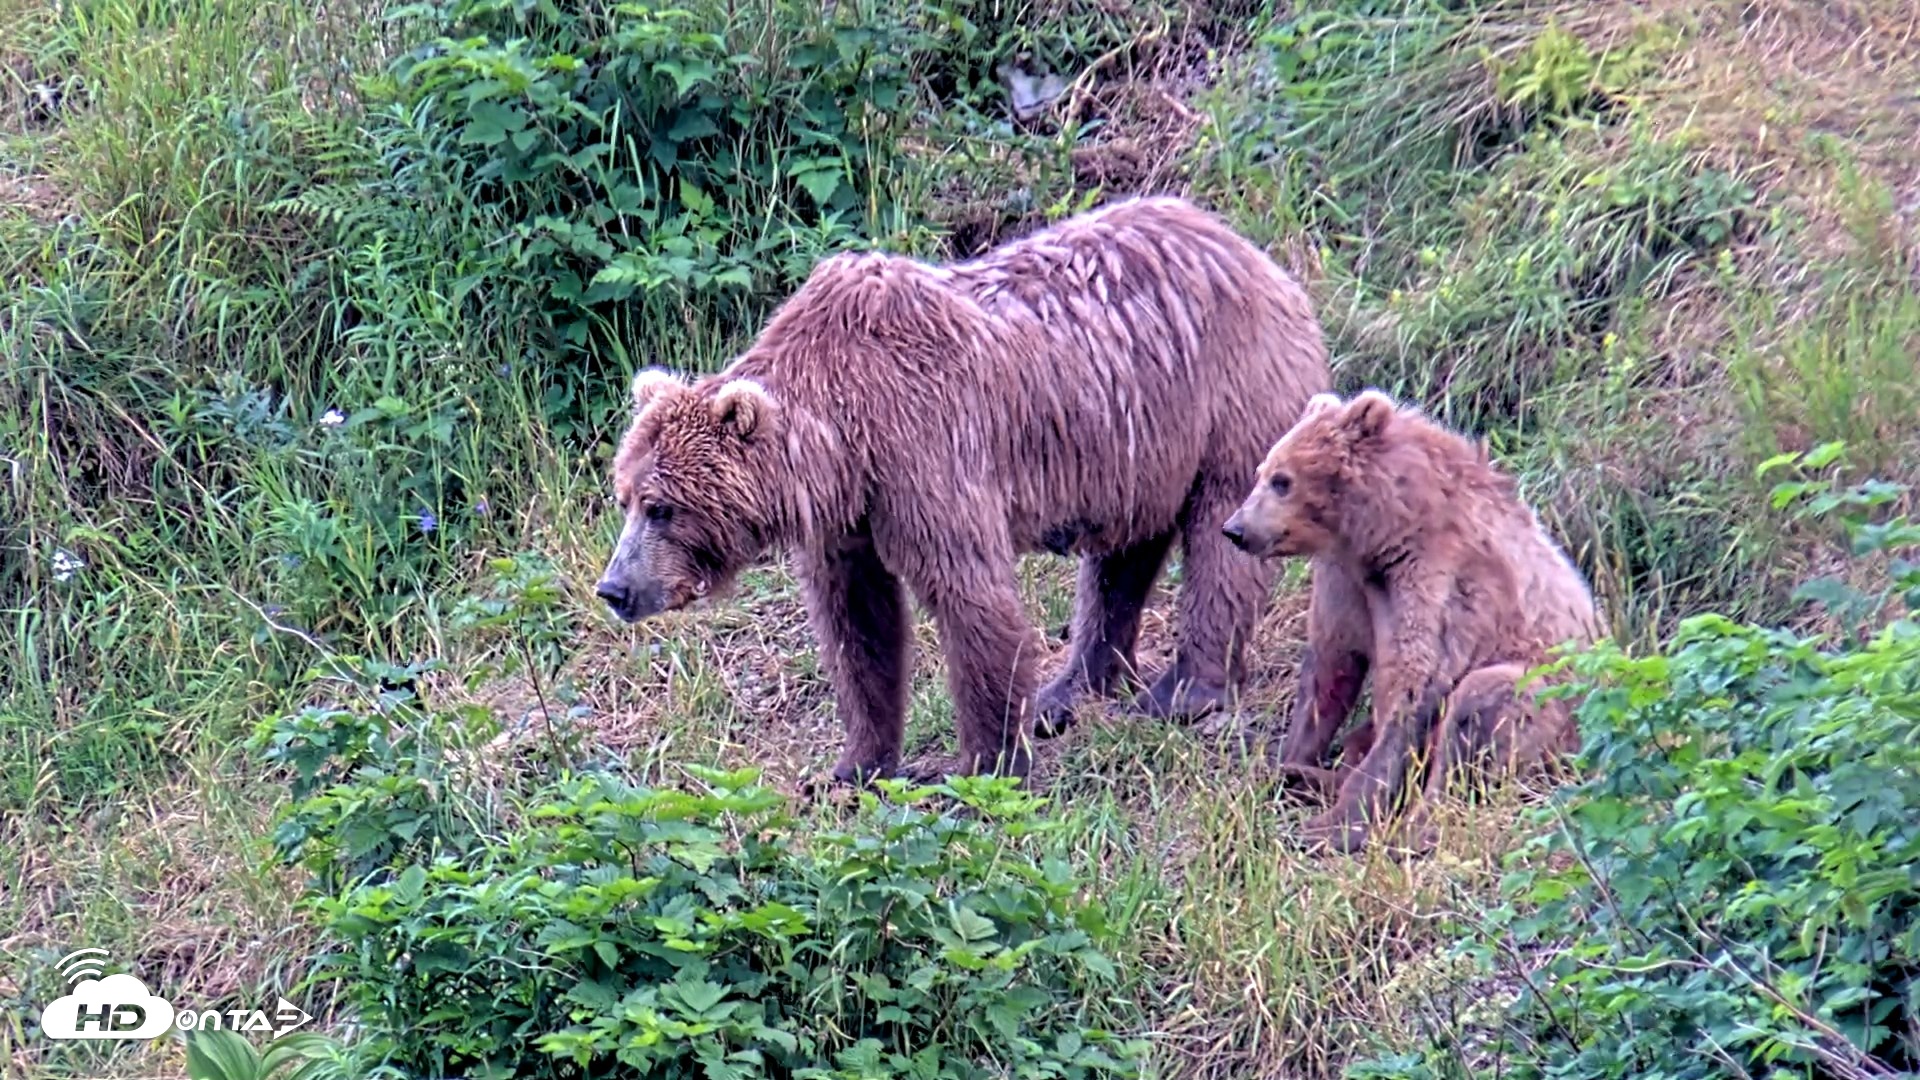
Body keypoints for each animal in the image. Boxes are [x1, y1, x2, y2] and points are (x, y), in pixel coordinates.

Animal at [594, 195, 1331, 786]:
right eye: (624, 497)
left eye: (662, 507)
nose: (616, 588)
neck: (844, 435)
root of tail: (1255, 253)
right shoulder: (850, 517)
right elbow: (858, 626)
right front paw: (855, 764)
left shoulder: (926, 453)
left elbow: (971, 598)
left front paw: (990, 766)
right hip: (1138, 440)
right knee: (1123, 554)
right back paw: (1069, 691)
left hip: (1229, 395)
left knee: (1219, 536)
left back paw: (1183, 692)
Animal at [1220, 389, 1601, 854]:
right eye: (1263, 471)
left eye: (1282, 480)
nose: (1235, 529)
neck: (1383, 530)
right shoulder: (1347, 580)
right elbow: (1331, 667)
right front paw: (1285, 764)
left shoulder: (1439, 580)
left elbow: (1415, 685)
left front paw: (1336, 825)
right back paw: (1312, 777)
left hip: (1556, 709)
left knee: (1481, 707)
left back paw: (1415, 827)